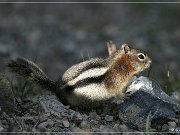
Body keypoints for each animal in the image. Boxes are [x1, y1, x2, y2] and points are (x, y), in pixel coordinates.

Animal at [7, 42, 152, 108]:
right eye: (141, 56)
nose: (151, 62)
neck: (121, 65)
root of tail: (55, 87)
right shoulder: (114, 83)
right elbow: (117, 94)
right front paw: (124, 96)